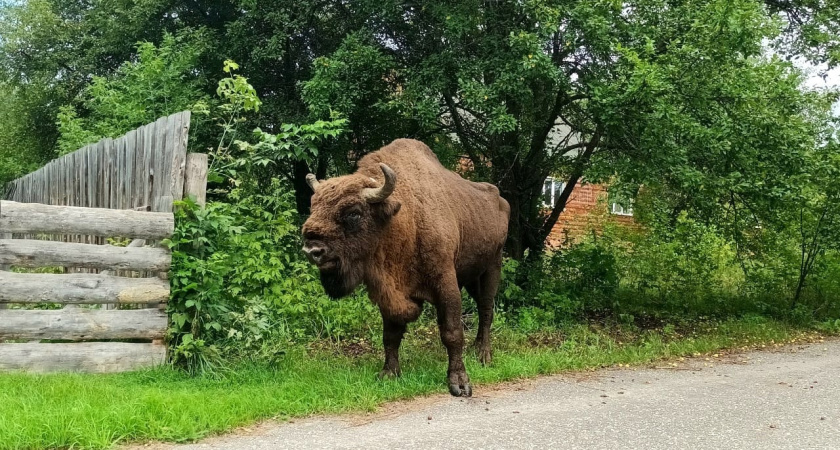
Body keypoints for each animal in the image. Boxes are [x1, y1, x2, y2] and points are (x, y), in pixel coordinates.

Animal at [304, 139, 512, 396]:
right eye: (313, 207)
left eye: (353, 213)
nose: (313, 250)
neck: (402, 219)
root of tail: (501, 200)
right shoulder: (389, 292)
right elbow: (390, 336)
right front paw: (389, 373)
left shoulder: (446, 283)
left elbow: (452, 332)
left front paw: (459, 383)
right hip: (471, 276)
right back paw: (476, 350)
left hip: (492, 268)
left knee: (485, 309)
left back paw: (483, 355)